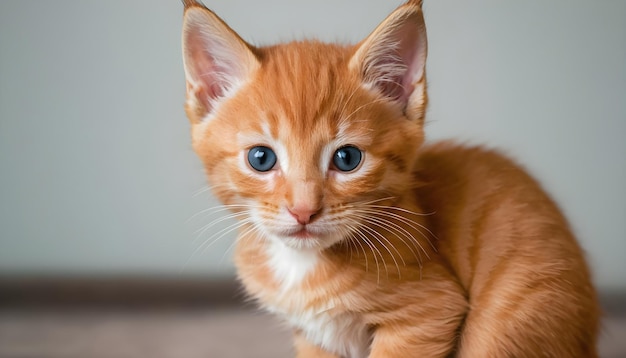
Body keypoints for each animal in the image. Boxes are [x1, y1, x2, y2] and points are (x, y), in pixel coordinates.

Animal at [179, 1, 596, 356]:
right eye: (261, 158)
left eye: (347, 158)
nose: (303, 211)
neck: (302, 266)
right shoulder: (314, 338)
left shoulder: (429, 312)